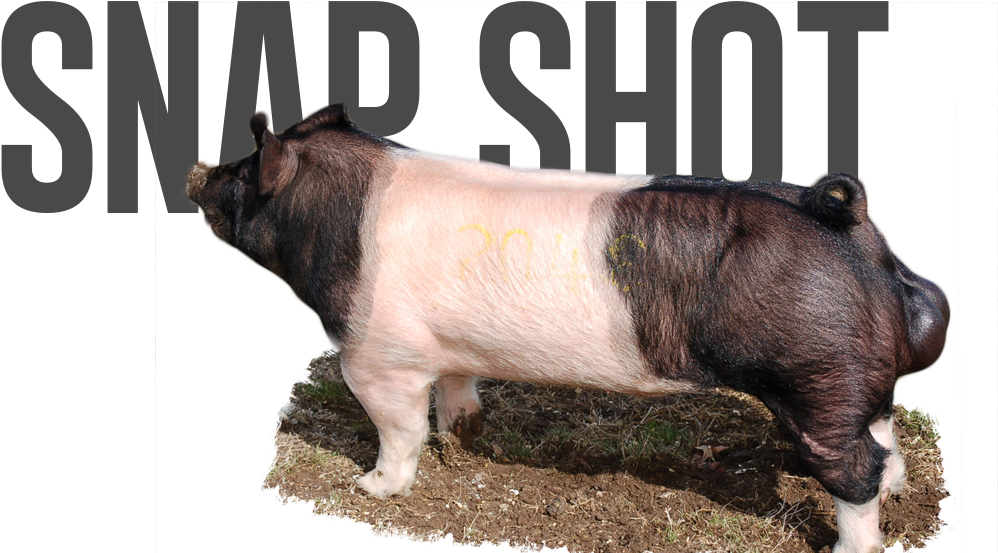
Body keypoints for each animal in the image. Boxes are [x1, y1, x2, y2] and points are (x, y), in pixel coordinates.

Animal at [185, 103, 950, 553]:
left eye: (244, 171)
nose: (197, 167)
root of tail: (848, 221)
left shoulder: (377, 355)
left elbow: (397, 430)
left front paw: (373, 487)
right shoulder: (444, 347)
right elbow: (457, 385)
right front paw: (463, 434)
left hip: (815, 375)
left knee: (854, 469)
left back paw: (849, 545)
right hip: (853, 381)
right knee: (882, 441)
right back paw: (902, 488)